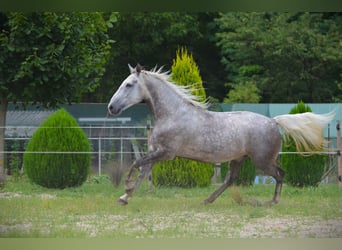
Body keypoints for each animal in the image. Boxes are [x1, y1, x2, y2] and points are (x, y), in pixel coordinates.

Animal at [107, 64, 334, 205]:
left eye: (129, 84)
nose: (111, 107)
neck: (173, 113)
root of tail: (273, 121)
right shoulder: (156, 153)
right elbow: (142, 170)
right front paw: (124, 197)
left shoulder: (165, 153)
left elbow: (136, 164)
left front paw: (125, 187)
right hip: (239, 159)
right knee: (230, 180)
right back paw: (207, 200)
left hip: (262, 160)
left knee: (280, 174)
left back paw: (272, 201)